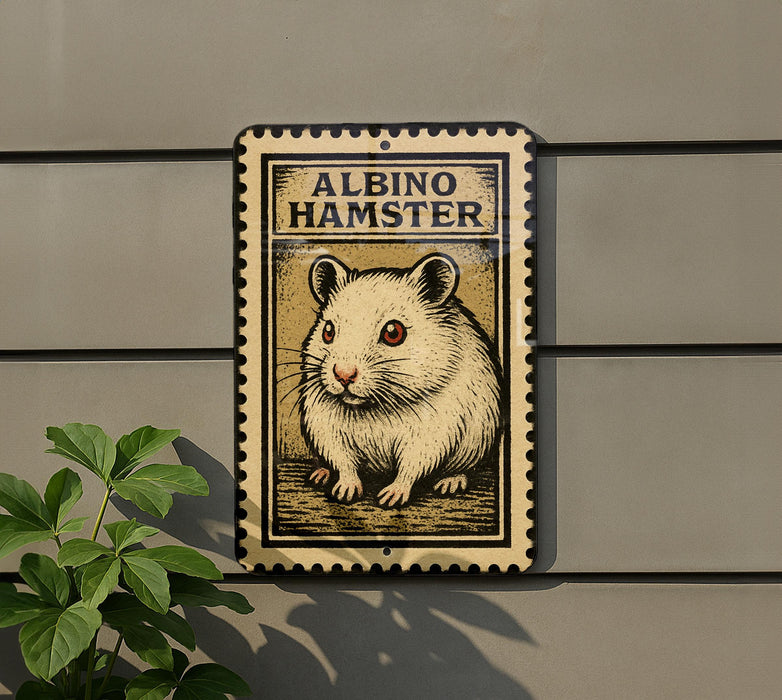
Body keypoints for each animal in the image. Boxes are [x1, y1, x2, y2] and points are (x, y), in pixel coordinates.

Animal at [297, 253, 502, 508]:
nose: (343, 375)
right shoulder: (327, 427)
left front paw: (390, 497)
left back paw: (449, 483)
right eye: (328, 330)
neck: (374, 407)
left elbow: (410, 467)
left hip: (475, 442)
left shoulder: (430, 433)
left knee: (462, 467)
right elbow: (344, 462)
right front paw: (344, 492)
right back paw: (320, 474)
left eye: (393, 332)